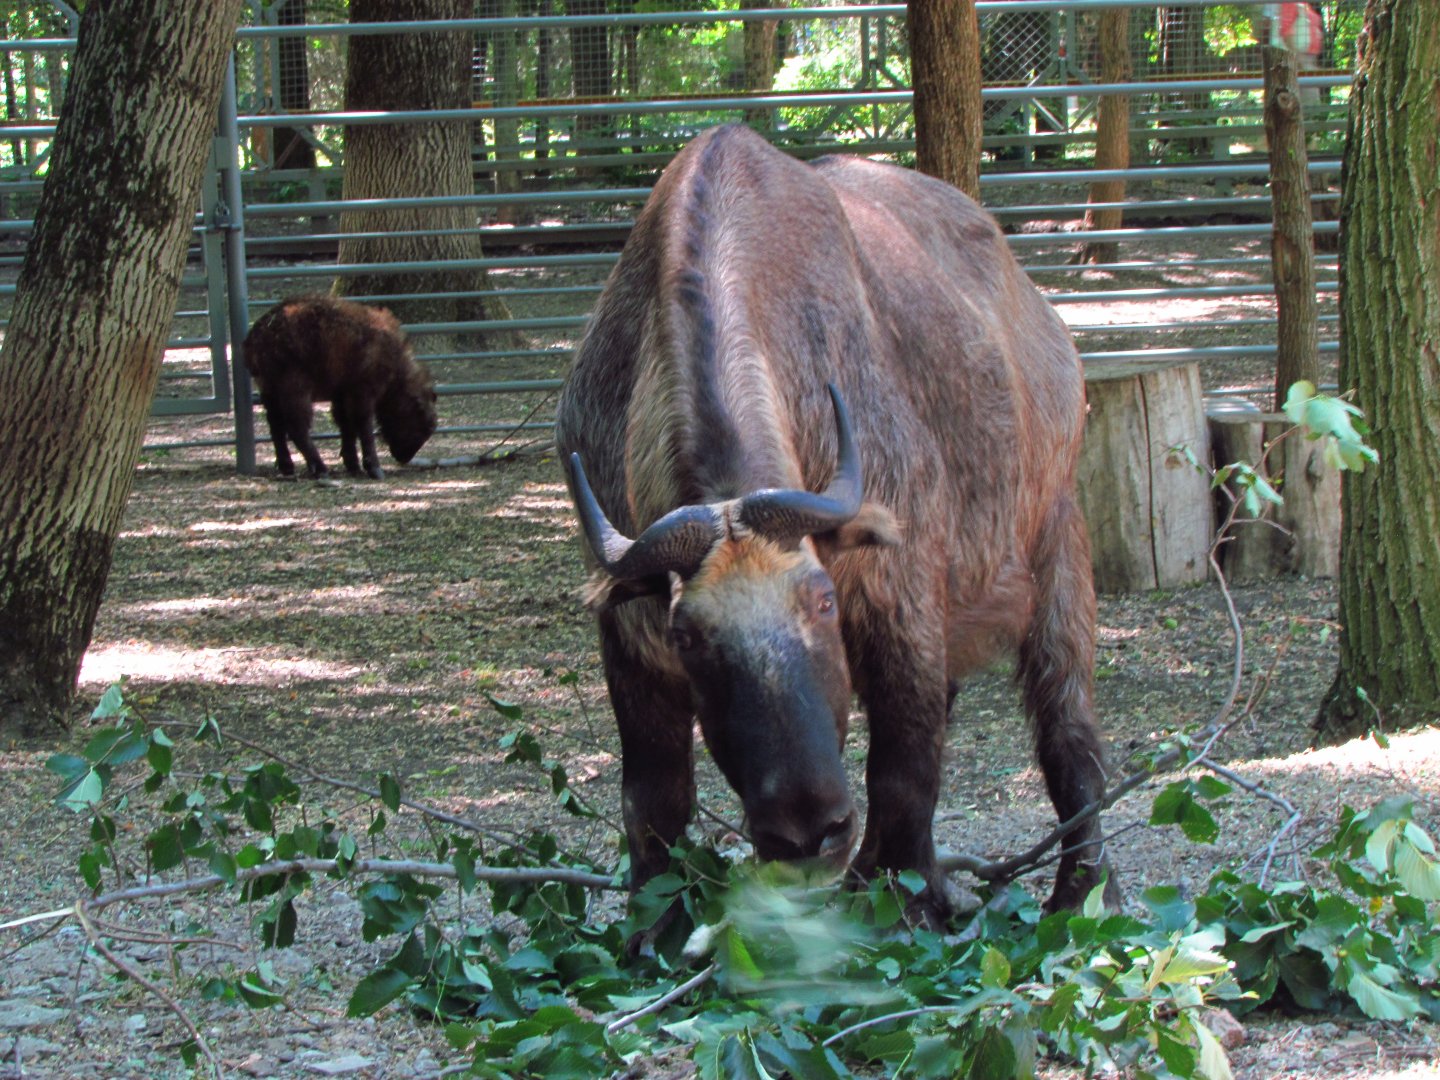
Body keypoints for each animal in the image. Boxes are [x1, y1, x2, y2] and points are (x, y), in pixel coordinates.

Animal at [555, 124, 1113, 925]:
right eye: (687, 635)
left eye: (822, 601)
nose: (807, 830)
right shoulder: (628, 637)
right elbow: (651, 803)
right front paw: (651, 933)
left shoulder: (897, 598)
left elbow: (905, 771)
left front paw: (909, 911)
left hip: (1058, 546)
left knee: (1070, 734)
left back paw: (1083, 896)